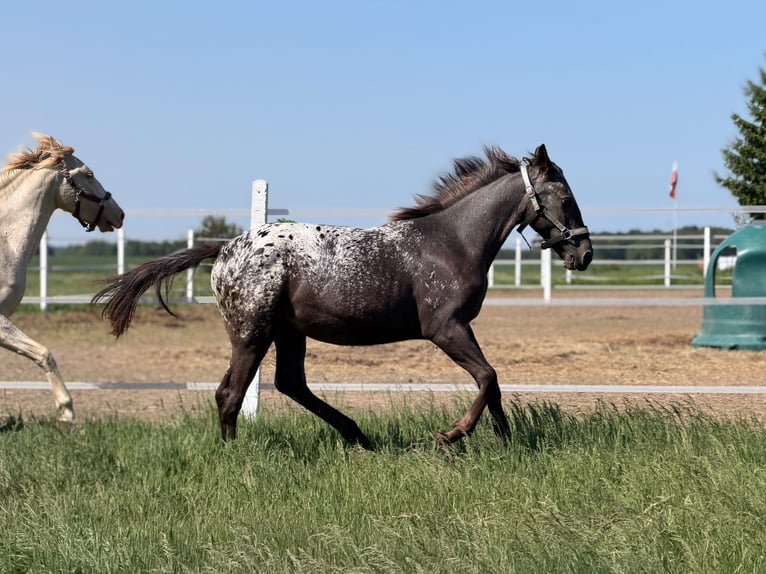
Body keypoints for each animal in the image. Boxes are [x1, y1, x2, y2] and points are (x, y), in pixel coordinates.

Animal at [94, 144, 591, 449]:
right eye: (565, 198)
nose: (583, 253)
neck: (450, 242)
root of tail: (225, 248)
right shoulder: (445, 328)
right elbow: (487, 376)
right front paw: (452, 435)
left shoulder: (458, 329)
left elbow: (493, 382)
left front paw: (507, 441)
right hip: (252, 334)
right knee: (231, 393)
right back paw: (238, 457)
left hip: (287, 333)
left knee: (287, 384)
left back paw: (358, 437)